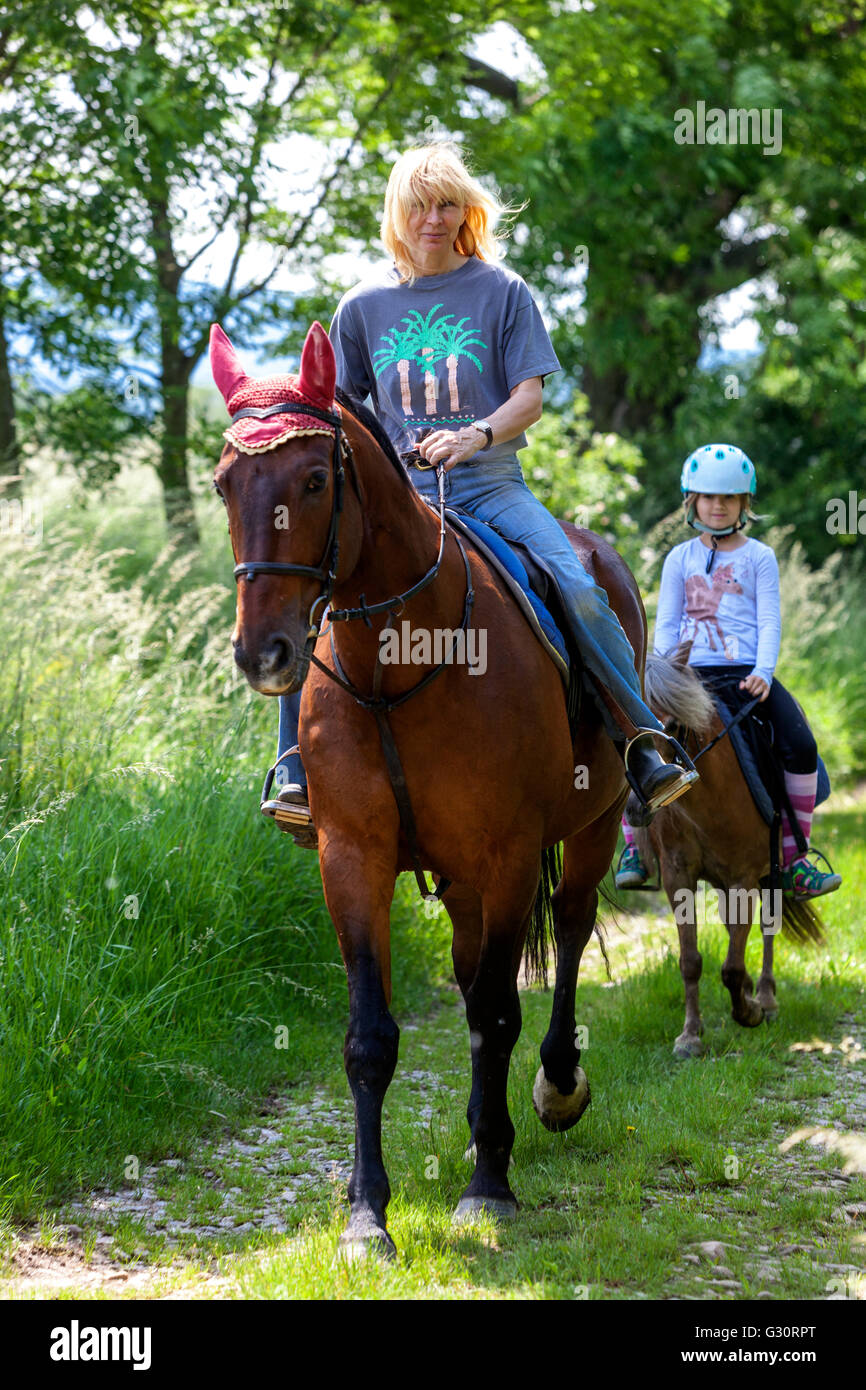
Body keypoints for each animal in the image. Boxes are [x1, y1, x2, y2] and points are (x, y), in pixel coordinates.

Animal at [214, 319, 650, 1256]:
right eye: (227, 482)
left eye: (313, 480)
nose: (264, 652)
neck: (401, 660)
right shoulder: (353, 857)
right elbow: (372, 1039)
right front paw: (366, 1215)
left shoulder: (511, 853)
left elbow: (497, 1013)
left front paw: (489, 1187)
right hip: (459, 880)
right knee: (471, 968)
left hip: (590, 828)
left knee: (567, 935)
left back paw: (555, 1091)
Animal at [633, 644, 822, 1056]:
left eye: (673, 727)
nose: (640, 807)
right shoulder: (679, 878)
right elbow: (690, 960)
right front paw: (690, 1035)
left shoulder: (743, 878)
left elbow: (732, 966)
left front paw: (749, 1012)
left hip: (766, 874)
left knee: (767, 927)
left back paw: (765, 998)